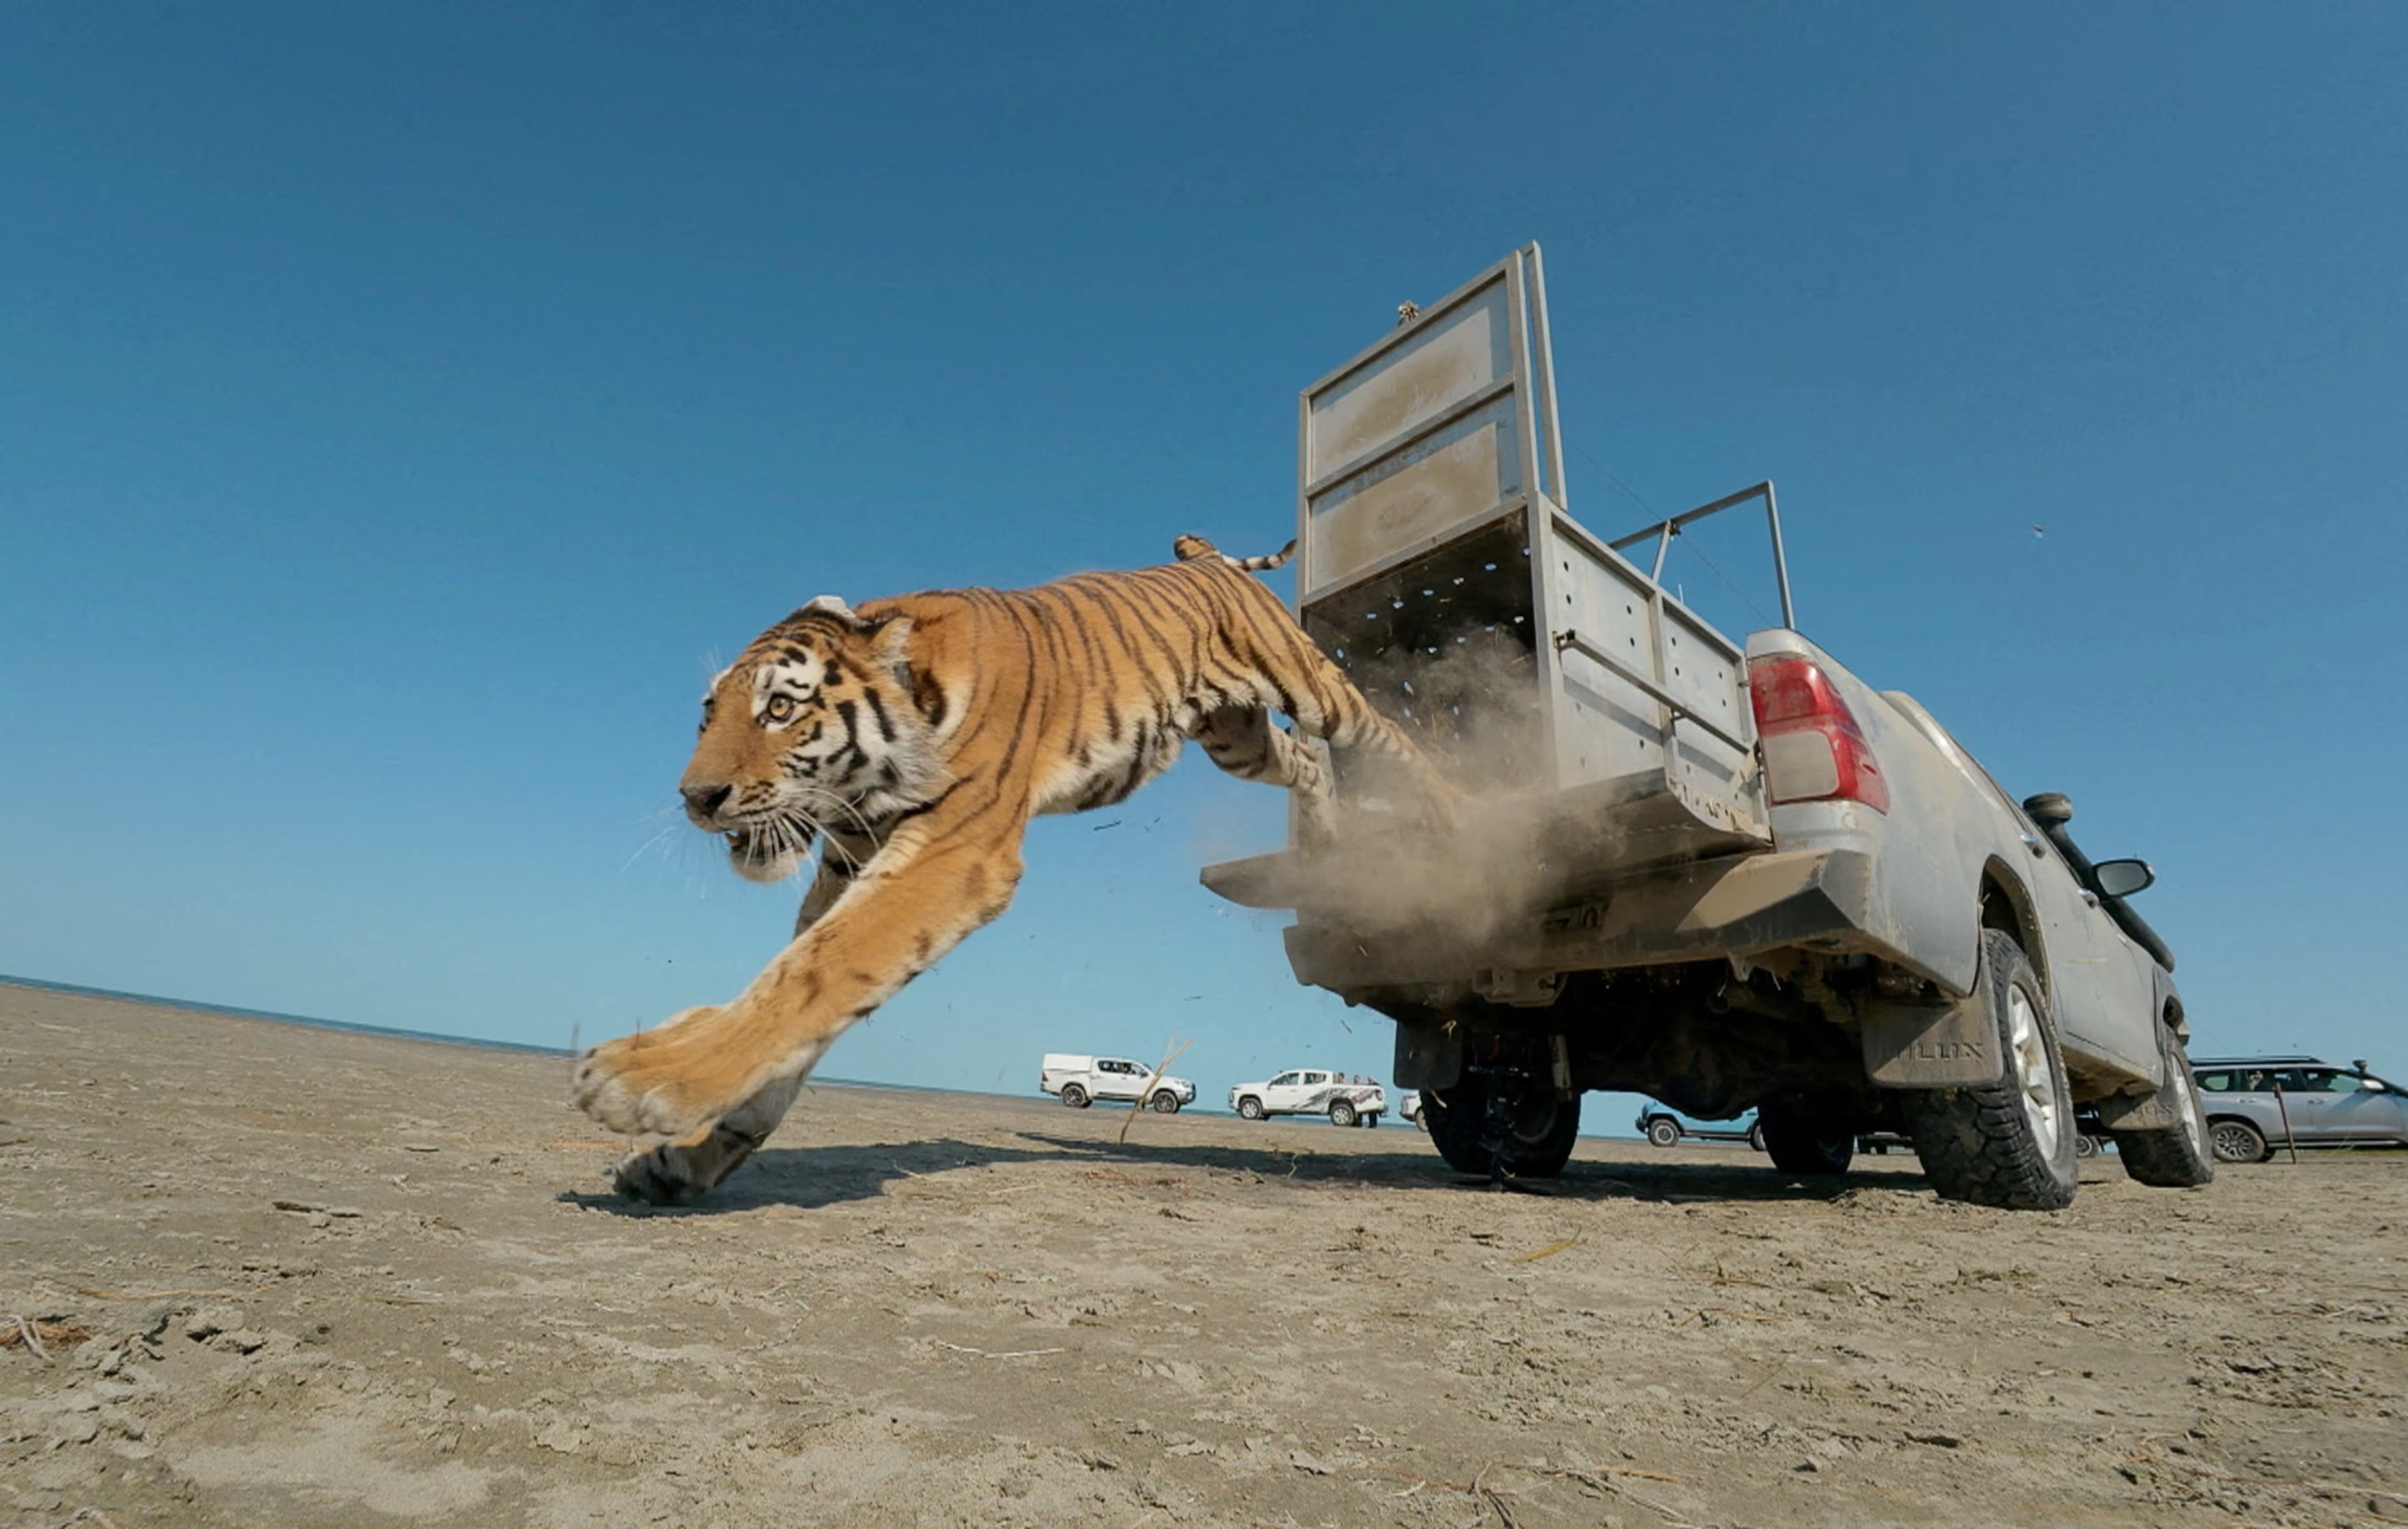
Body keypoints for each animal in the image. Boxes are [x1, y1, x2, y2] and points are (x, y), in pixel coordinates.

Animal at [572, 533, 1461, 1204]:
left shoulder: (954, 852)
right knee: (1306, 762)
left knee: (1381, 737)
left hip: (1305, 681)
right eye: (707, 715)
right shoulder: (848, 865)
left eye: (780, 709)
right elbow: (800, 991)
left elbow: (815, 972)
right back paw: (1323, 847)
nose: (696, 798)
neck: (869, 781)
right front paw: (687, 1159)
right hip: (1235, 734)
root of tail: (1205, 558)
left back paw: (1453, 818)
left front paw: (642, 1078)